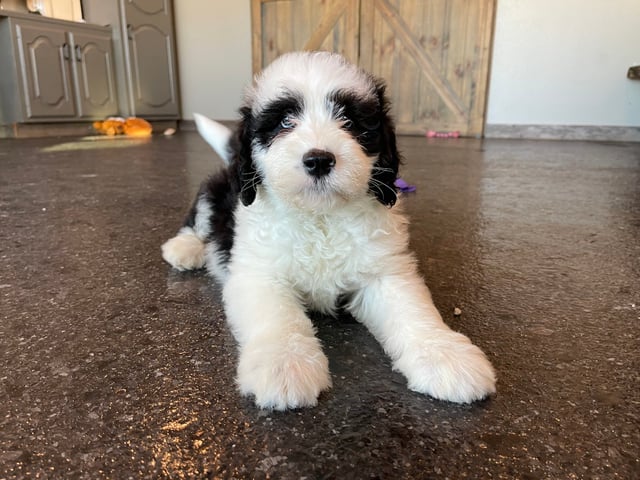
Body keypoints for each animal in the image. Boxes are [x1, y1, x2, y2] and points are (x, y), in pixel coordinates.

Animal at [161, 53, 496, 412]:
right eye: (285, 122)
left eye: (349, 121)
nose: (319, 160)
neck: (320, 217)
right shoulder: (259, 273)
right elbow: (278, 316)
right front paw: (284, 364)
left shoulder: (384, 271)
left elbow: (411, 308)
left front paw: (444, 354)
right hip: (218, 190)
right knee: (199, 217)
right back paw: (184, 248)